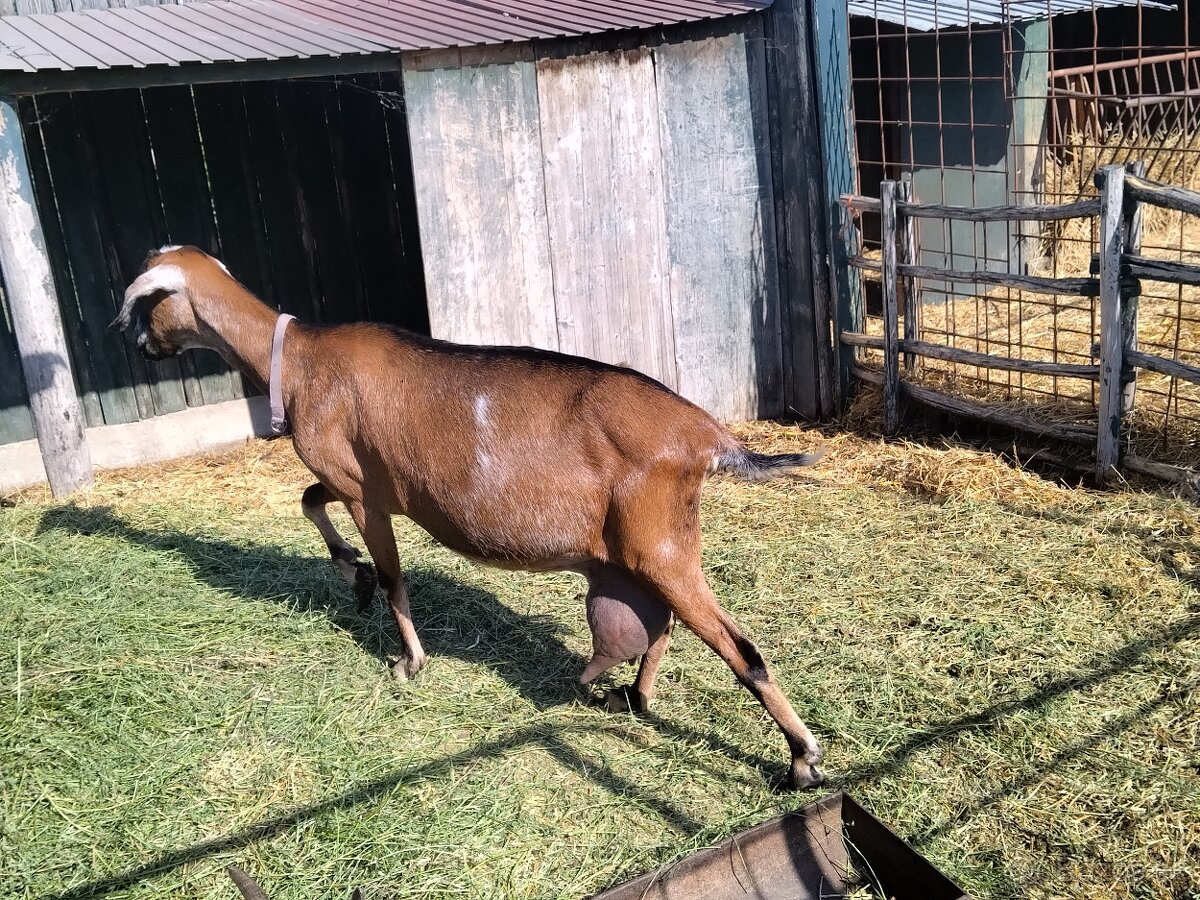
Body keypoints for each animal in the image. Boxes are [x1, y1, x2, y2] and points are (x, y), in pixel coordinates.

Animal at [112, 247, 825, 787]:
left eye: (149, 302)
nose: (139, 344)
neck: (301, 358)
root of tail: (707, 436)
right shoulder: (353, 484)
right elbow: (309, 501)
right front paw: (350, 574)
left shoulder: (363, 490)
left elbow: (391, 574)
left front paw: (407, 659)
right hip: (642, 552)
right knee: (660, 626)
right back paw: (633, 696)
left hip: (662, 546)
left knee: (740, 647)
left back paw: (801, 760)